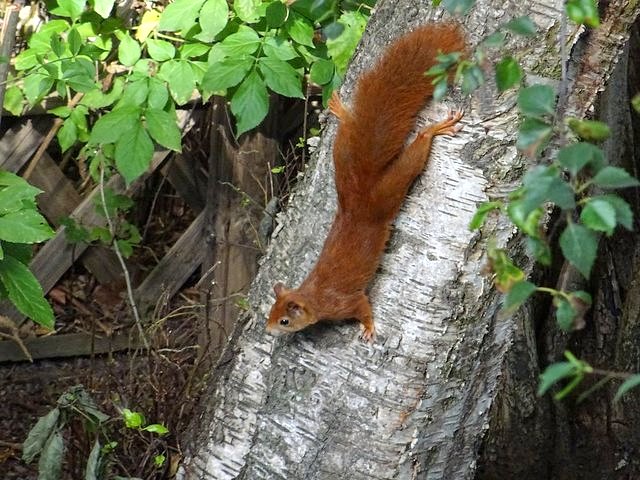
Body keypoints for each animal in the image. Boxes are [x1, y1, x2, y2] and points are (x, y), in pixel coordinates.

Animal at [267, 23, 465, 342]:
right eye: (270, 313)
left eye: (284, 320)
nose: (268, 329)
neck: (313, 297)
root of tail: (360, 189)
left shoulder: (345, 302)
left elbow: (363, 306)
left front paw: (369, 328)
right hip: (343, 161)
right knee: (347, 134)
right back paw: (342, 112)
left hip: (387, 192)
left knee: (413, 156)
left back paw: (435, 130)